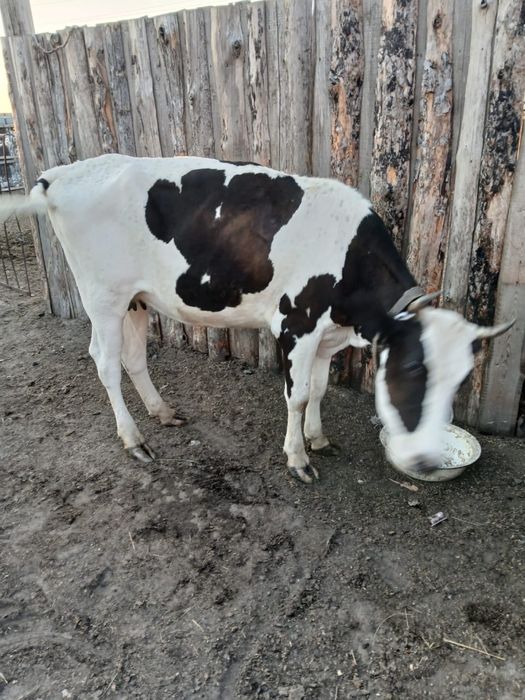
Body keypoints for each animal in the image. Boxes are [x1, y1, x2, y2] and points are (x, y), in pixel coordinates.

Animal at [1, 154, 513, 483]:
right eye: (412, 369)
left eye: (460, 380)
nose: (426, 462)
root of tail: (61, 173)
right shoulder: (296, 324)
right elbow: (298, 395)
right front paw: (298, 459)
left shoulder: (326, 334)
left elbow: (319, 390)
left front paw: (318, 439)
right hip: (101, 295)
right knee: (105, 362)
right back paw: (134, 440)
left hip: (136, 298)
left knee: (133, 358)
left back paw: (162, 412)